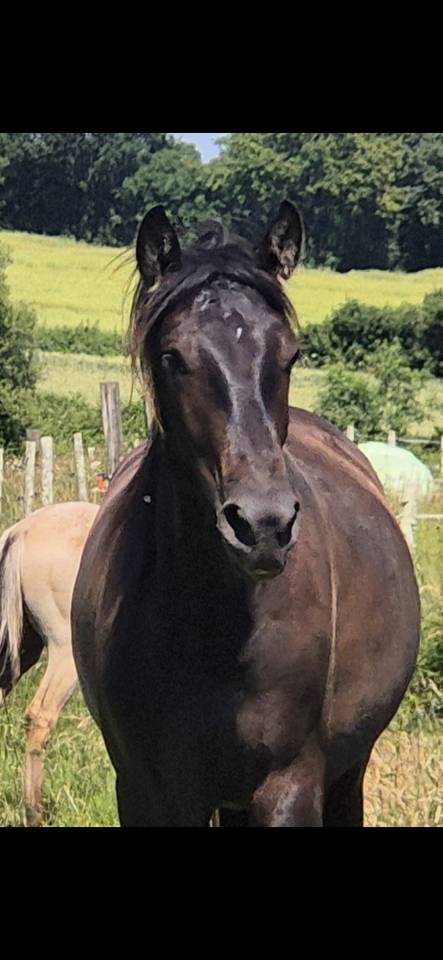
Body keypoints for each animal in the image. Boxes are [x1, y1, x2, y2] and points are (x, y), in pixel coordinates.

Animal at [71, 201, 420, 827]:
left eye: (291, 354)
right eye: (173, 356)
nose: (262, 526)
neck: (210, 628)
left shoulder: (289, 785)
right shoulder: (145, 791)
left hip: (345, 774)